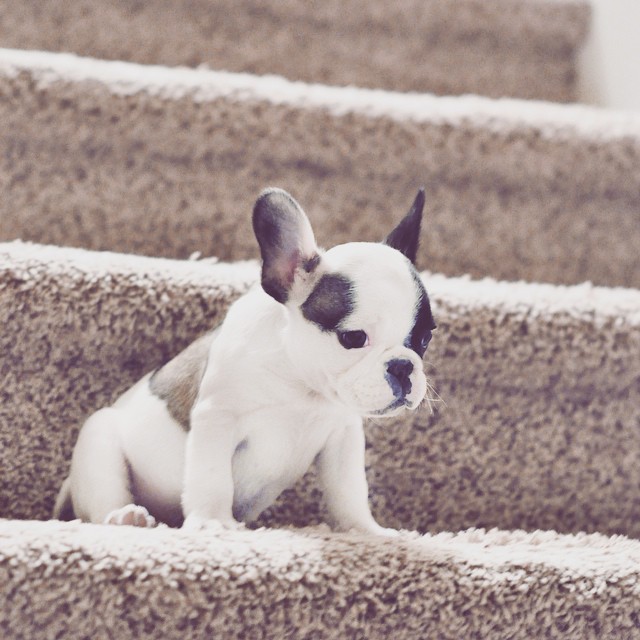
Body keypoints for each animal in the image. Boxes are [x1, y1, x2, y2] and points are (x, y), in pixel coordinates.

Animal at [53, 186, 436, 536]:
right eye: (354, 338)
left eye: (424, 339)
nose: (403, 366)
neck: (300, 383)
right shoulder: (217, 419)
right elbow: (212, 479)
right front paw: (212, 521)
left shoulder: (342, 437)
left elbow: (349, 492)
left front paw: (364, 531)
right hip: (99, 441)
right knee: (104, 499)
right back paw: (125, 517)